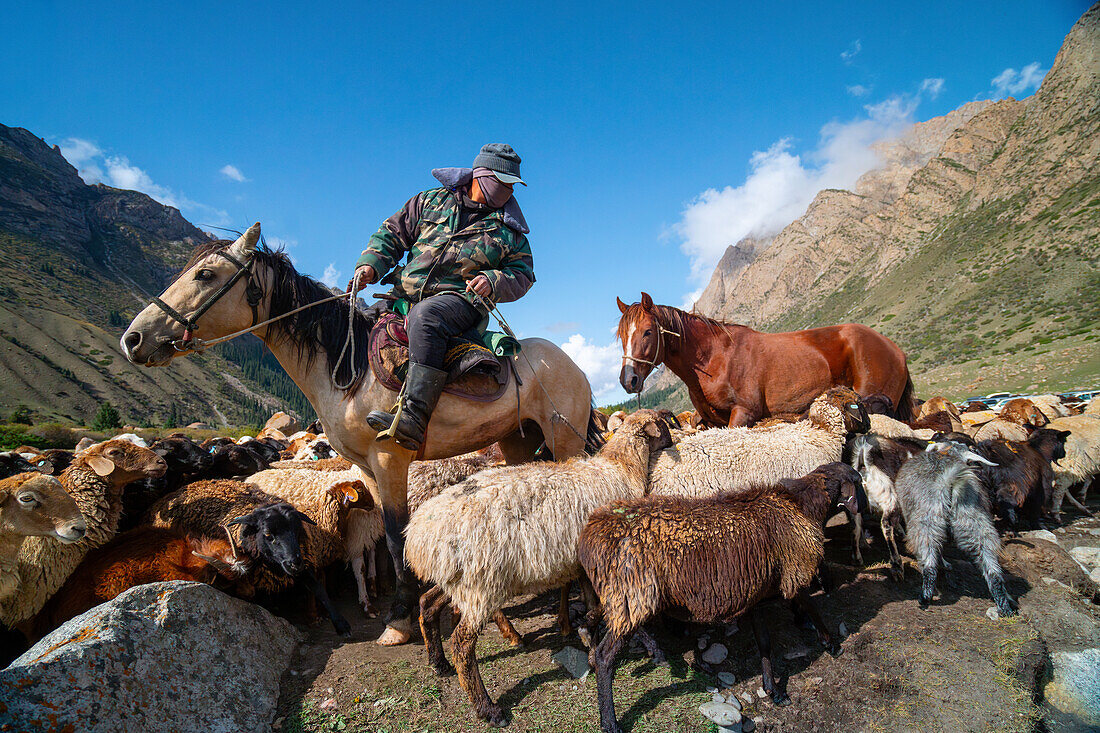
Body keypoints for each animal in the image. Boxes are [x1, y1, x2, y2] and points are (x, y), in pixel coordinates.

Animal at [404, 407, 668, 721]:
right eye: (665, 424)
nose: (674, 442)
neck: (622, 469)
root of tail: (418, 534)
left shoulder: (582, 564)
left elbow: (593, 605)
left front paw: (589, 643)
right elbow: (613, 608)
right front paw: (649, 647)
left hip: (458, 580)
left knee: (427, 604)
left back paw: (438, 663)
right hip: (480, 586)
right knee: (462, 644)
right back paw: (488, 708)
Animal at [580, 462, 844, 730]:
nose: (830, 583)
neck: (798, 505)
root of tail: (592, 533)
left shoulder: (757, 595)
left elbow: (764, 643)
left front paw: (773, 690)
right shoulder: (793, 572)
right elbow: (811, 607)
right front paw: (831, 643)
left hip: (623, 595)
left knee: (596, 616)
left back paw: (591, 642)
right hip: (634, 592)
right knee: (605, 656)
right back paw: (610, 720)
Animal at [616, 290, 915, 424]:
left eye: (647, 332)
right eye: (621, 335)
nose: (628, 380)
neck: (716, 358)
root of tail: (896, 350)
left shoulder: (743, 414)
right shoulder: (713, 423)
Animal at [893, 440, 1012, 616]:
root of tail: (951, 481)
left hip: (928, 518)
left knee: (929, 558)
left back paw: (925, 596)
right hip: (973, 520)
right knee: (991, 565)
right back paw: (1004, 605)